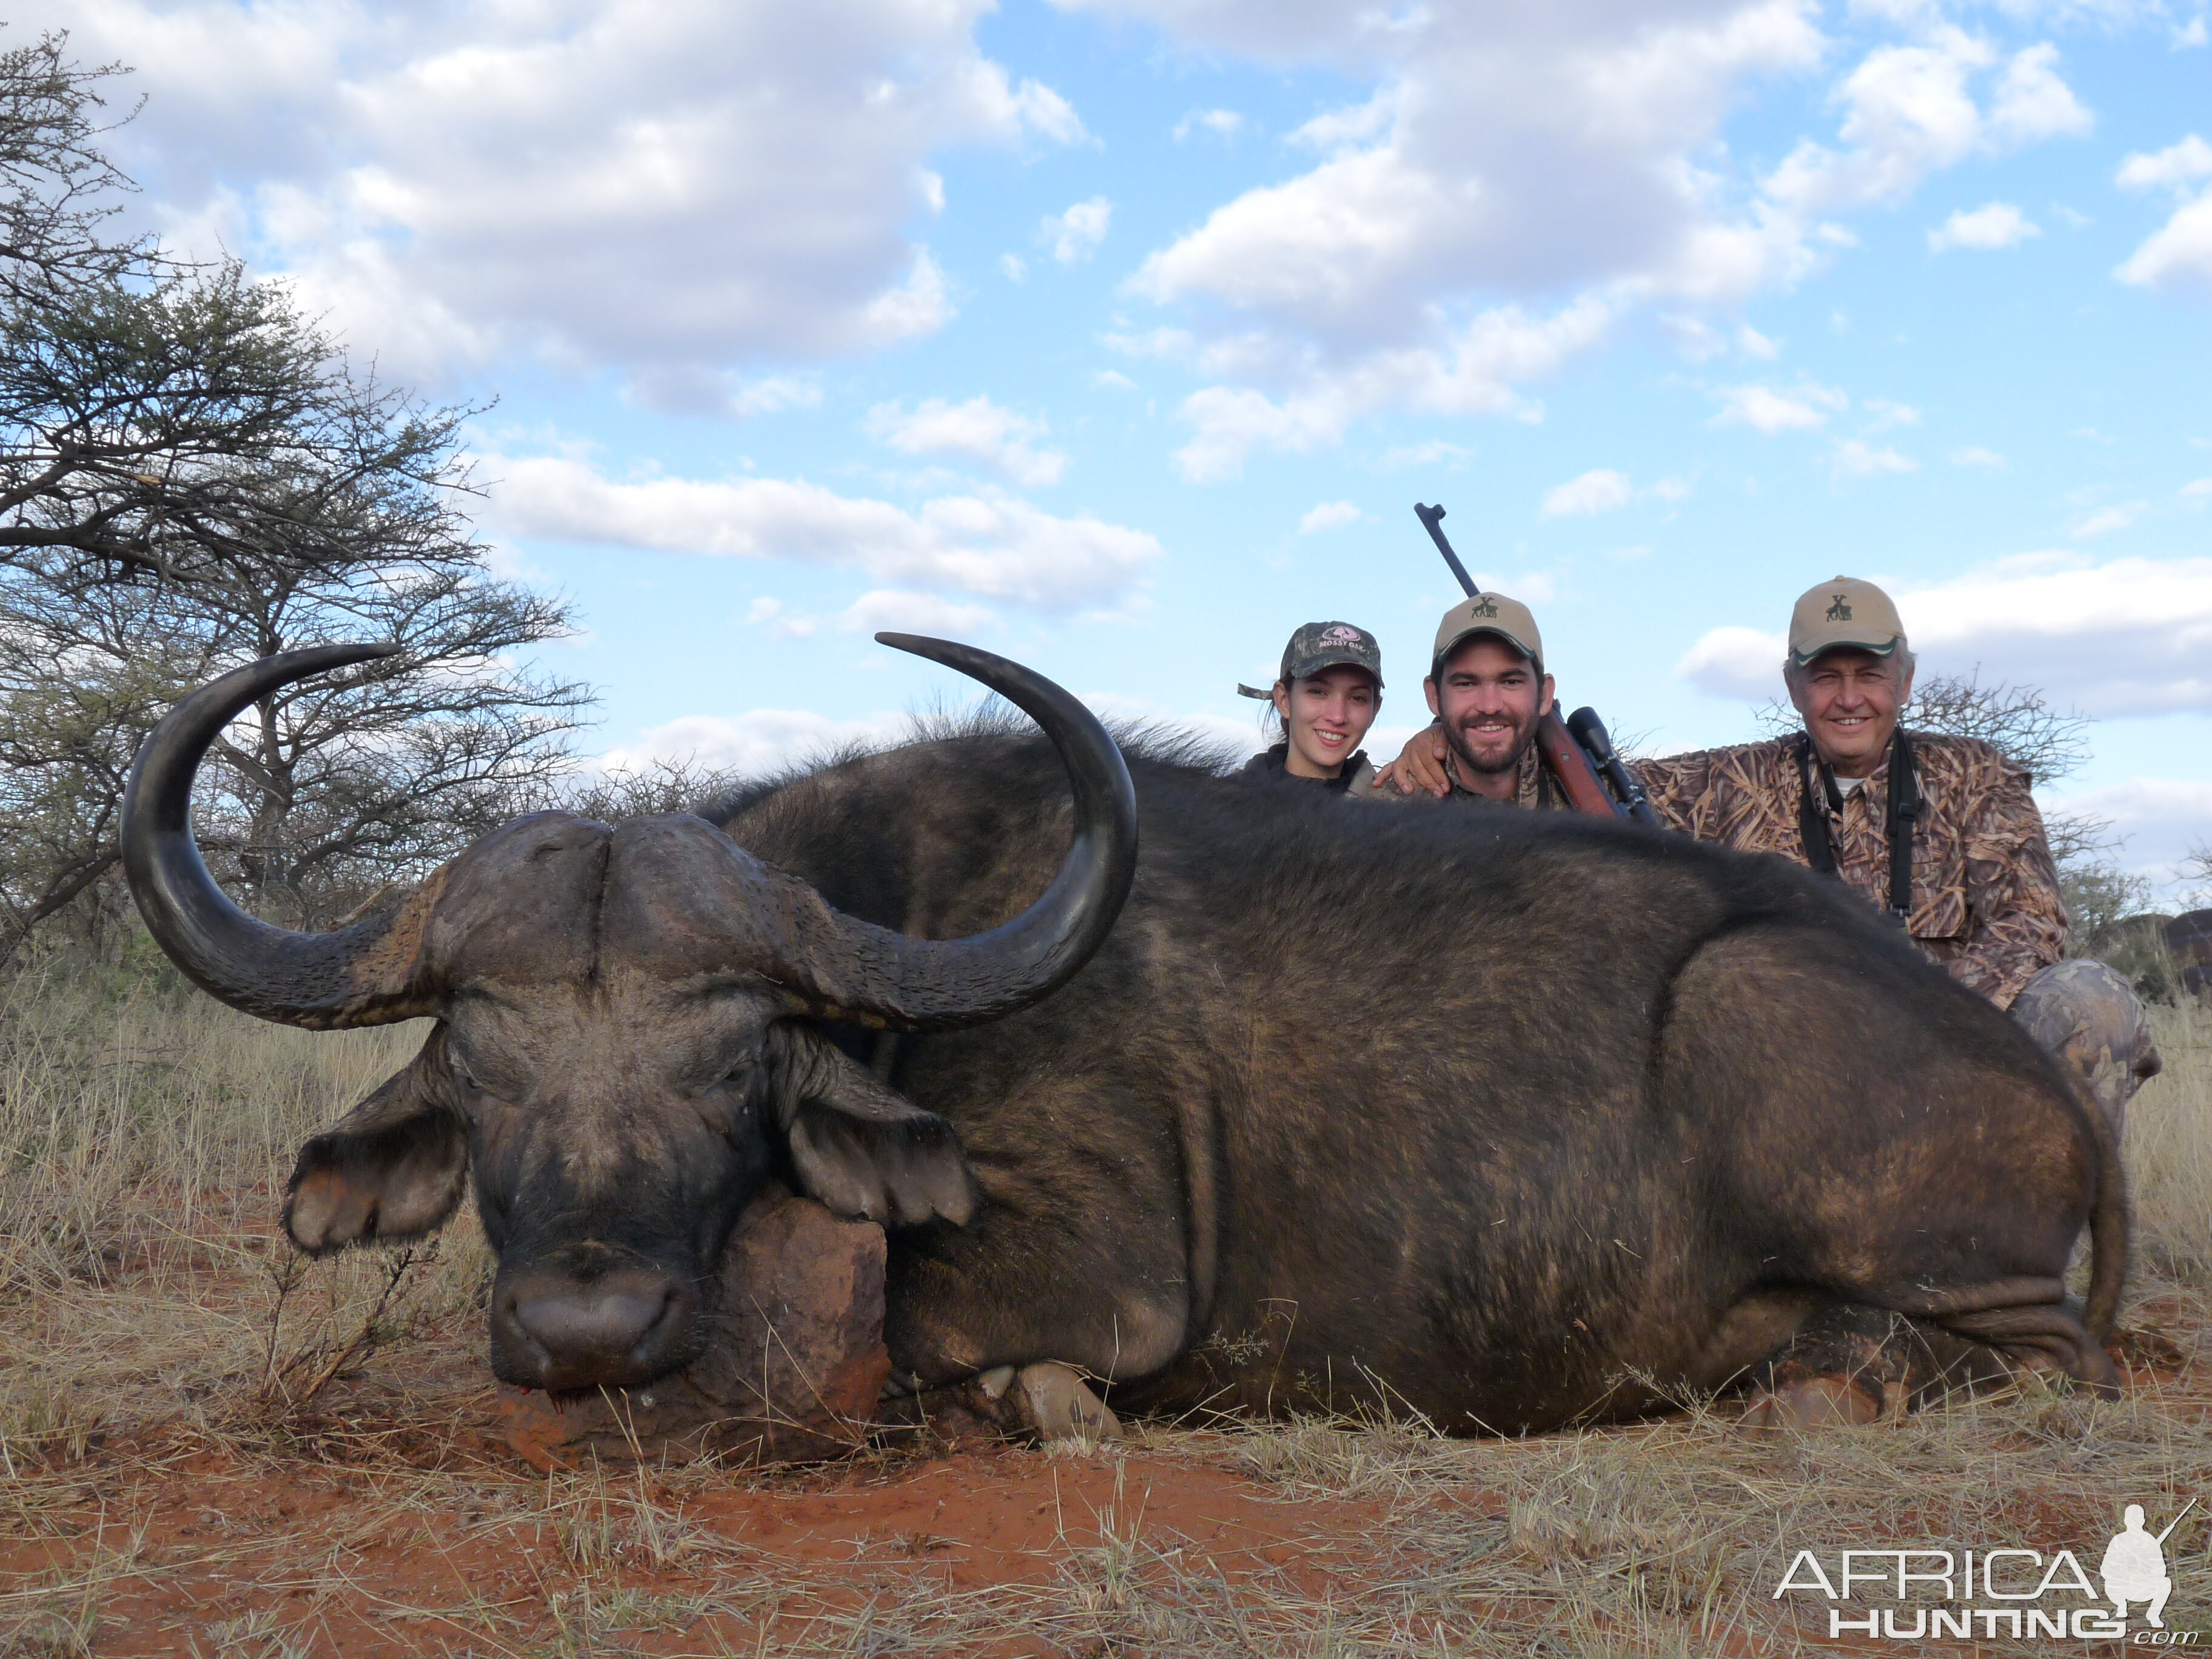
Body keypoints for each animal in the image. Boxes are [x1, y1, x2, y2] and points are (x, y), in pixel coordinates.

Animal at [126, 637, 2123, 1442]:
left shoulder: (1079, 1283)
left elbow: (946, 1350)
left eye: (734, 1063)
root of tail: (2037, 1082)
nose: (586, 1325)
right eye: (481, 1069)